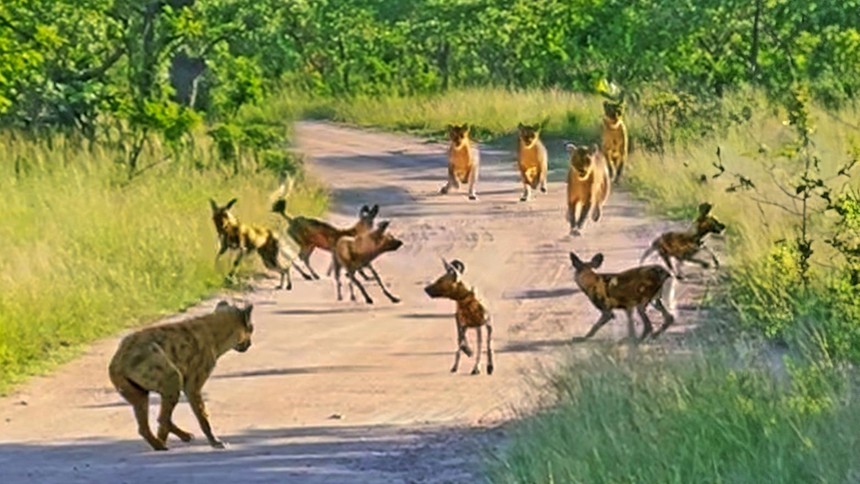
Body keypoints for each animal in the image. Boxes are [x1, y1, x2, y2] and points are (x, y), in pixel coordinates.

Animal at [109, 300, 254, 452]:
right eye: (252, 329)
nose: (250, 344)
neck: (215, 335)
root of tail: (117, 363)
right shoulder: (193, 384)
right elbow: (202, 415)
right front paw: (216, 442)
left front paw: (164, 438)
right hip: (168, 375)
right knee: (162, 417)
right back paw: (169, 443)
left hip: (136, 392)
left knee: (146, 423)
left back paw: (163, 443)